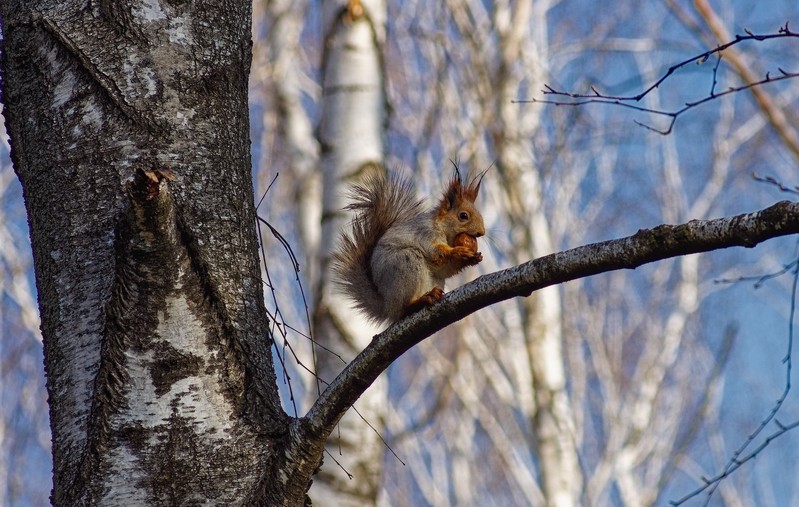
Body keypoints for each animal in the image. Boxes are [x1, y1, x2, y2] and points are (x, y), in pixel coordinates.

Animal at [332, 169, 488, 324]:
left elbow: (444, 269)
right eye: (463, 216)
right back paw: (420, 301)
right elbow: (435, 251)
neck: (446, 231)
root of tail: (387, 307)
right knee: (403, 308)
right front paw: (459, 251)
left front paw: (474, 258)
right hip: (406, 264)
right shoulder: (426, 233)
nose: (482, 232)